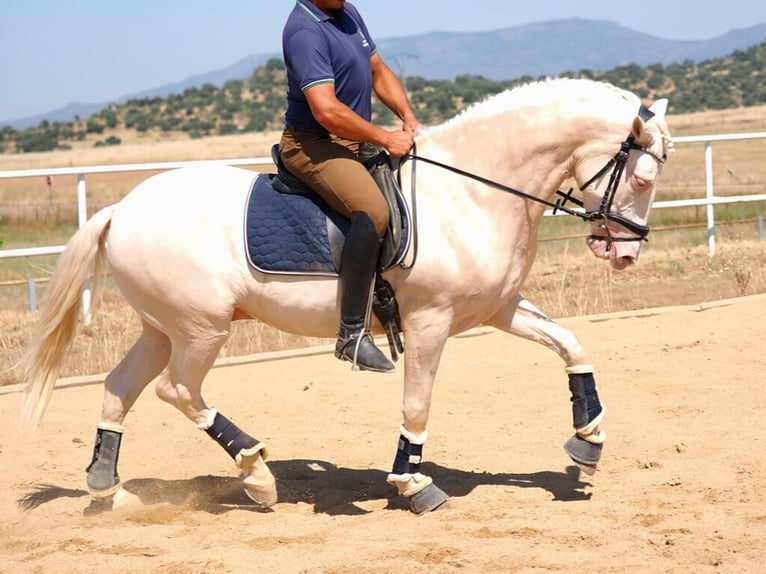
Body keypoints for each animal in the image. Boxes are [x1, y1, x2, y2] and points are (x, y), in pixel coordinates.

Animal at [21, 78, 672, 515]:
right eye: (642, 178)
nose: (624, 254)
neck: (472, 193)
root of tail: (121, 209)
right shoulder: (431, 321)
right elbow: (417, 406)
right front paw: (413, 484)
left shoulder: (497, 308)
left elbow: (571, 344)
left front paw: (588, 439)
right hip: (201, 328)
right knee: (176, 390)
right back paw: (256, 474)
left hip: (163, 328)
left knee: (119, 388)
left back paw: (109, 490)